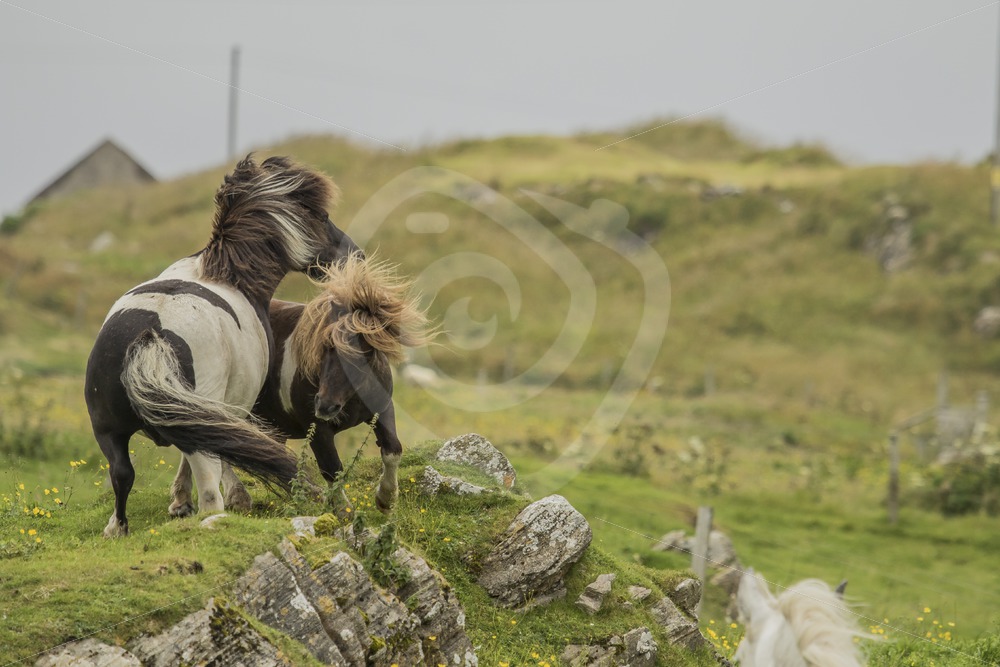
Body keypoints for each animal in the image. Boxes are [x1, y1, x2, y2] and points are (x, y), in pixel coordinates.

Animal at [84, 155, 360, 537]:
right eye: (321, 216)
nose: (354, 255)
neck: (227, 274)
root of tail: (150, 335)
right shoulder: (233, 406)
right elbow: (229, 453)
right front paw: (232, 499)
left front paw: (178, 501)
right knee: (209, 488)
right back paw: (213, 516)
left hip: (107, 429)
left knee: (122, 473)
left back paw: (117, 528)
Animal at [172, 253, 430, 513]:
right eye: (326, 346)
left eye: (363, 355)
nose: (325, 406)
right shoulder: (317, 429)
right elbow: (331, 468)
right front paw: (343, 511)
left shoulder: (382, 409)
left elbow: (392, 450)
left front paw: (386, 499)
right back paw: (230, 497)